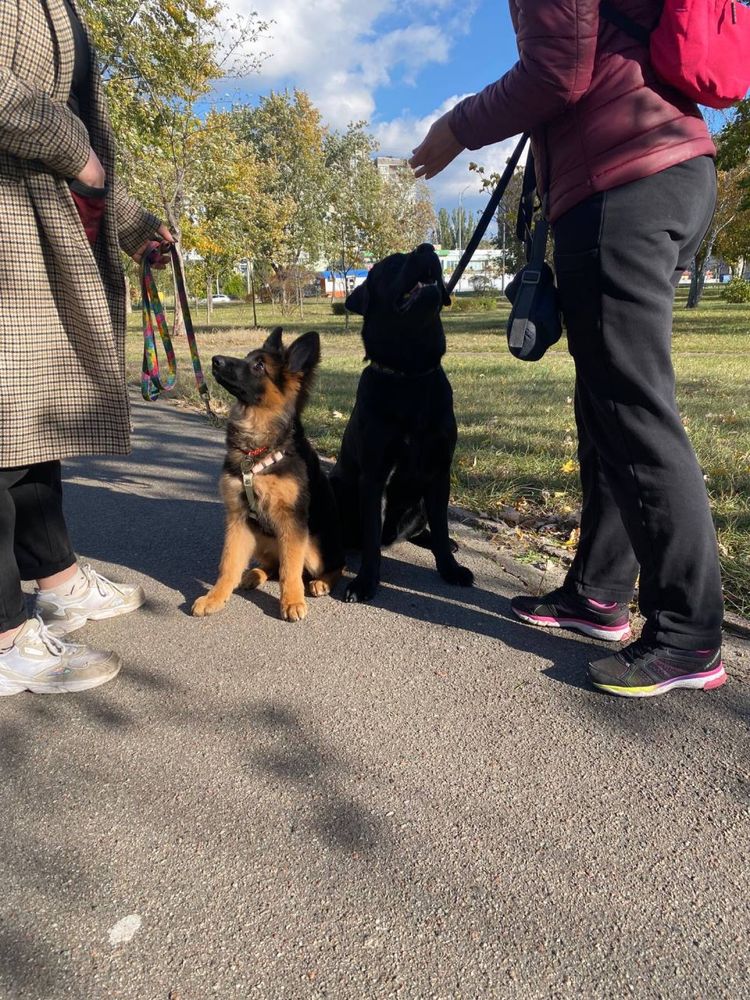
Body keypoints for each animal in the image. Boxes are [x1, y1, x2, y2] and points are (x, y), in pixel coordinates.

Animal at [194, 328, 346, 624]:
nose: (215, 360)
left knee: (335, 565)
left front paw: (292, 601)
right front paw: (215, 597)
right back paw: (254, 574)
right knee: (273, 565)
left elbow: (291, 570)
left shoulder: (291, 521)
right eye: (247, 357)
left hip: (312, 547)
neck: (258, 448)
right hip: (260, 538)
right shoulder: (238, 518)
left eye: (259, 366)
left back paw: (322, 582)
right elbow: (228, 564)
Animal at [330, 242, 472, 600]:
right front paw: (365, 582)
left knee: (426, 527)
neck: (411, 375)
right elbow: (370, 539)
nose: (428, 247)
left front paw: (450, 568)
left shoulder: (439, 473)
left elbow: (442, 523)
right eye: (392, 265)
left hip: (420, 501)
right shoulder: (374, 475)